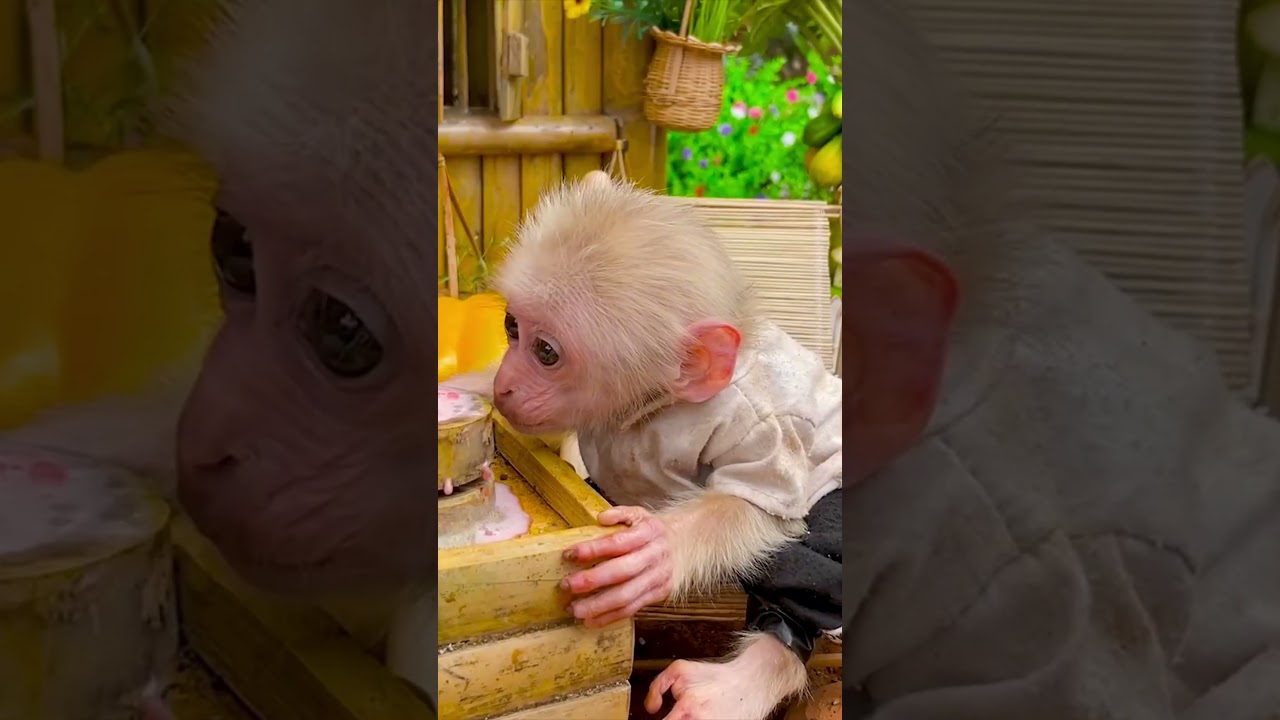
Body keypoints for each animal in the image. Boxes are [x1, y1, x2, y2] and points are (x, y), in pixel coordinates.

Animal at [441, 169, 844, 720]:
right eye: (511, 327)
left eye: (546, 353)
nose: (506, 386)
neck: (650, 406)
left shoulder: (758, 421)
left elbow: (759, 507)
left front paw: (660, 550)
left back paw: (753, 674)